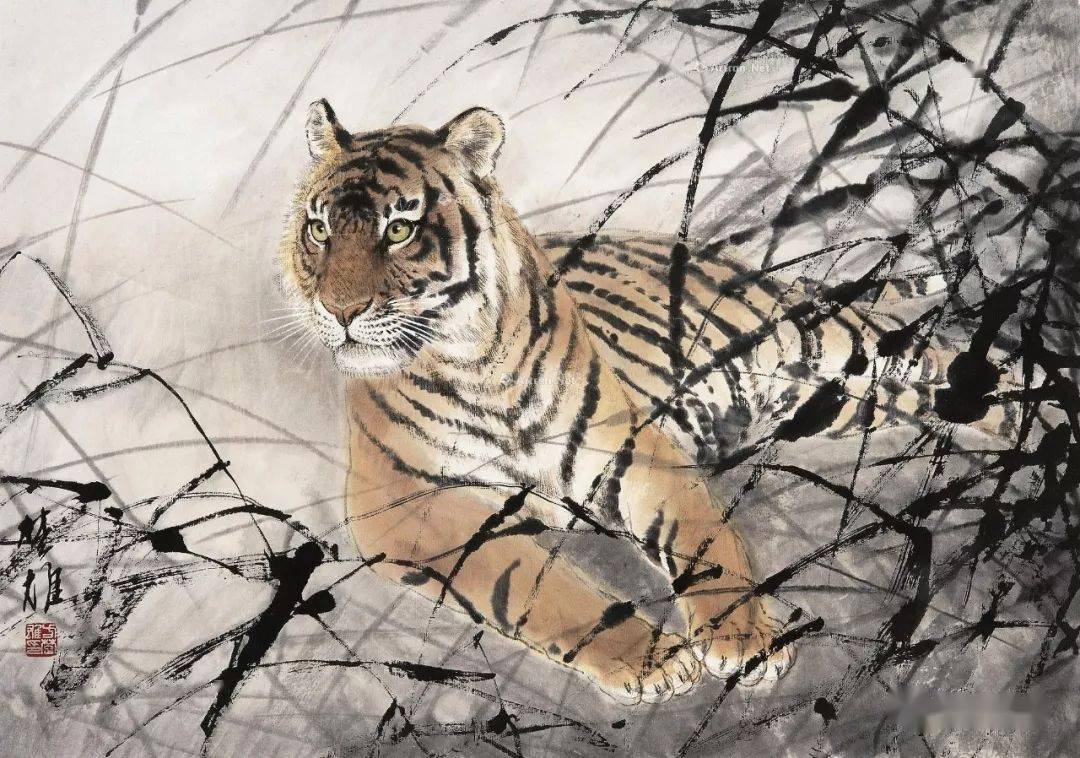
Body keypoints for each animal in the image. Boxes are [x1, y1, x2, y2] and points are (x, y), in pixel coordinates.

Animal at [277, 99, 1030, 705]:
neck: (473, 363)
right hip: (844, 400)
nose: (338, 311)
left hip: (839, 341)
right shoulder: (409, 508)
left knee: (981, 368)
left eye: (398, 230)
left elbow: (705, 539)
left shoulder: (630, 450)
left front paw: (744, 640)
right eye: (319, 230)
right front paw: (655, 662)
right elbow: (538, 583)